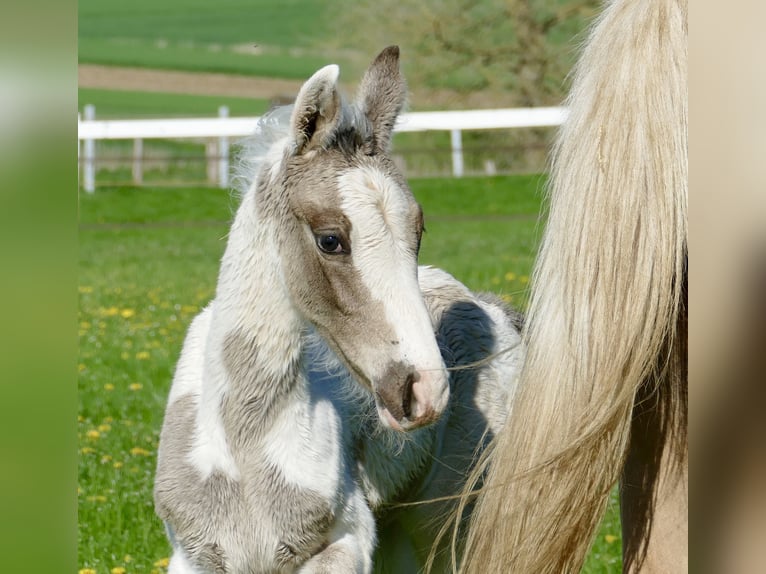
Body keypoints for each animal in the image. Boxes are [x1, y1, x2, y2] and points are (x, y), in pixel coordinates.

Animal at [154, 46, 524, 574]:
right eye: (330, 239)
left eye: (418, 230)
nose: (423, 390)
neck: (245, 450)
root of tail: (489, 306)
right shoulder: (192, 556)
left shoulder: (345, 543)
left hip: (447, 521)